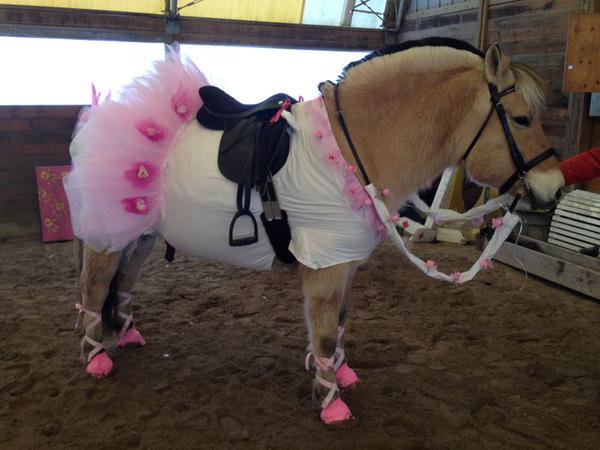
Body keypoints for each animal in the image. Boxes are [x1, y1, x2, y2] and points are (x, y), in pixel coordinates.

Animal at [63, 36, 564, 426]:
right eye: (521, 119)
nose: (555, 188)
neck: (349, 147)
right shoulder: (324, 264)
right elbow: (323, 332)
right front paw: (330, 404)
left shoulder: (346, 262)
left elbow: (340, 324)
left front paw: (340, 375)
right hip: (108, 234)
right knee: (94, 286)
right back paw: (96, 356)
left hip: (141, 234)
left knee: (123, 284)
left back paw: (126, 334)